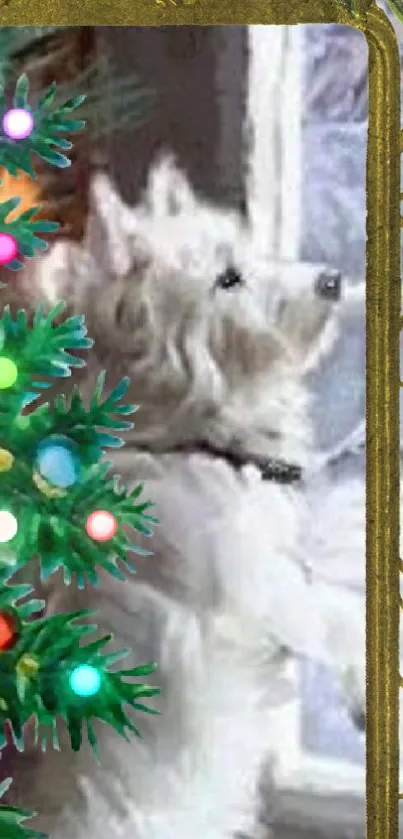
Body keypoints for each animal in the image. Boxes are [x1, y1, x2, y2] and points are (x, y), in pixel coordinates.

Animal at [21, 158, 366, 839]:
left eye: (248, 253)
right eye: (227, 279)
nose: (332, 281)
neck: (186, 438)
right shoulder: (255, 588)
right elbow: (336, 607)